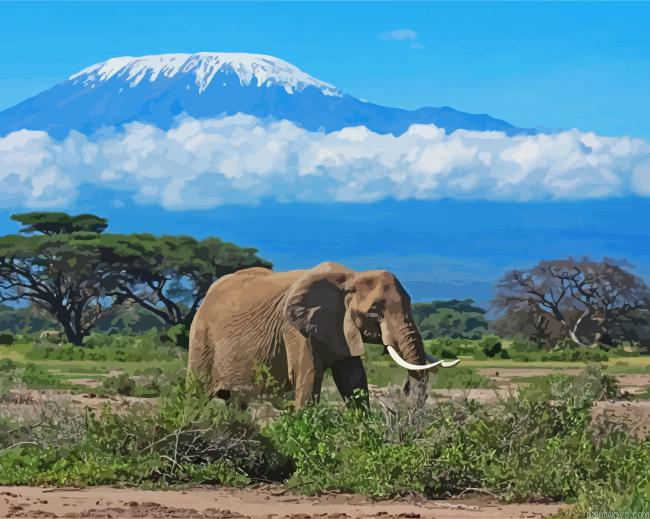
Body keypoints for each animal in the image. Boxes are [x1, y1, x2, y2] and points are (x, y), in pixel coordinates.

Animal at [188, 261, 459, 408]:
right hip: (201, 338)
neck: (351, 278)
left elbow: (354, 381)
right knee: (197, 394)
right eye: (374, 311)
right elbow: (307, 381)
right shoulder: (294, 330)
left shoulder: (340, 327)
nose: (404, 389)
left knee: (236, 403)